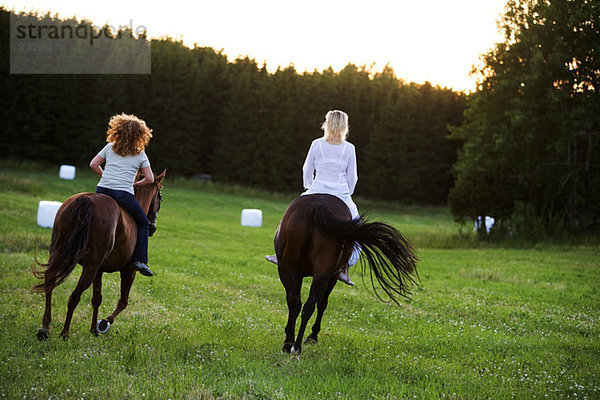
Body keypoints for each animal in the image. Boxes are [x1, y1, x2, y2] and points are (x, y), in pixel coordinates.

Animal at [33, 170, 165, 340]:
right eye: (160, 197)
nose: (152, 227)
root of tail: (86, 200)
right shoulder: (129, 271)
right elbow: (123, 301)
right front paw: (103, 323)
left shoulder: (99, 270)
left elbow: (96, 298)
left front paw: (93, 330)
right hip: (90, 267)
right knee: (74, 296)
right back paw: (64, 333)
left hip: (59, 253)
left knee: (50, 281)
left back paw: (45, 327)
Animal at [276, 194, 420, 354]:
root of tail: (317, 205)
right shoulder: (332, 275)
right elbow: (322, 304)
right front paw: (313, 335)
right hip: (320, 273)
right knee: (310, 305)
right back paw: (297, 346)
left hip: (293, 269)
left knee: (296, 303)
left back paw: (291, 344)